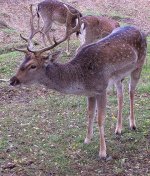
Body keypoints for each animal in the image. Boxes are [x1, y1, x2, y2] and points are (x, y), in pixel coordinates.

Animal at [9, 5, 147, 158]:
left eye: (33, 65)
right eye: (22, 62)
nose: (13, 80)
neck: (82, 78)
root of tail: (140, 30)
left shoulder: (101, 87)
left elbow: (100, 118)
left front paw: (102, 152)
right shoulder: (90, 92)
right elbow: (90, 114)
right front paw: (87, 139)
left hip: (139, 64)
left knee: (131, 91)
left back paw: (133, 125)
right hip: (118, 76)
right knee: (120, 95)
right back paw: (118, 129)